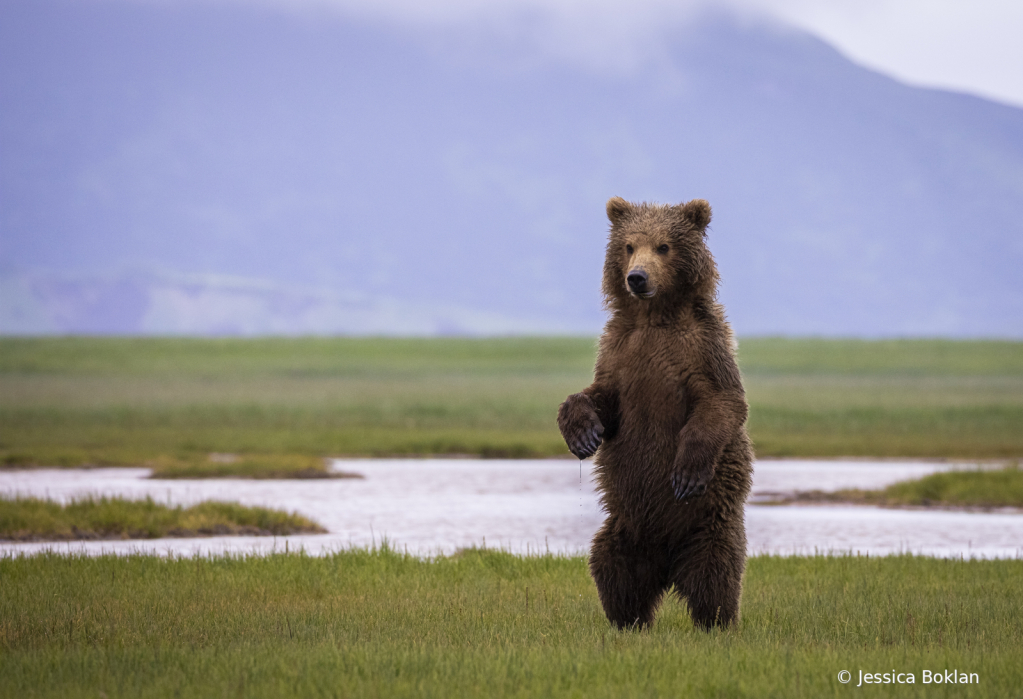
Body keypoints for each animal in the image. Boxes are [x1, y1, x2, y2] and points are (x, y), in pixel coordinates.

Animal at [560, 198, 752, 634]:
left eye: (664, 246)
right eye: (629, 245)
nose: (637, 278)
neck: (654, 317)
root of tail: (666, 564)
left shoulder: (703, 348)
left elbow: (722, 403)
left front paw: (686, 472)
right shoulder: (619, 350)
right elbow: (600, 397)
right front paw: (583, 434)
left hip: (708, 523)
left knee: (715, 572)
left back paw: (716, 622)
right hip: (624, 525)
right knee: (612, 567)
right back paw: (628, 620)